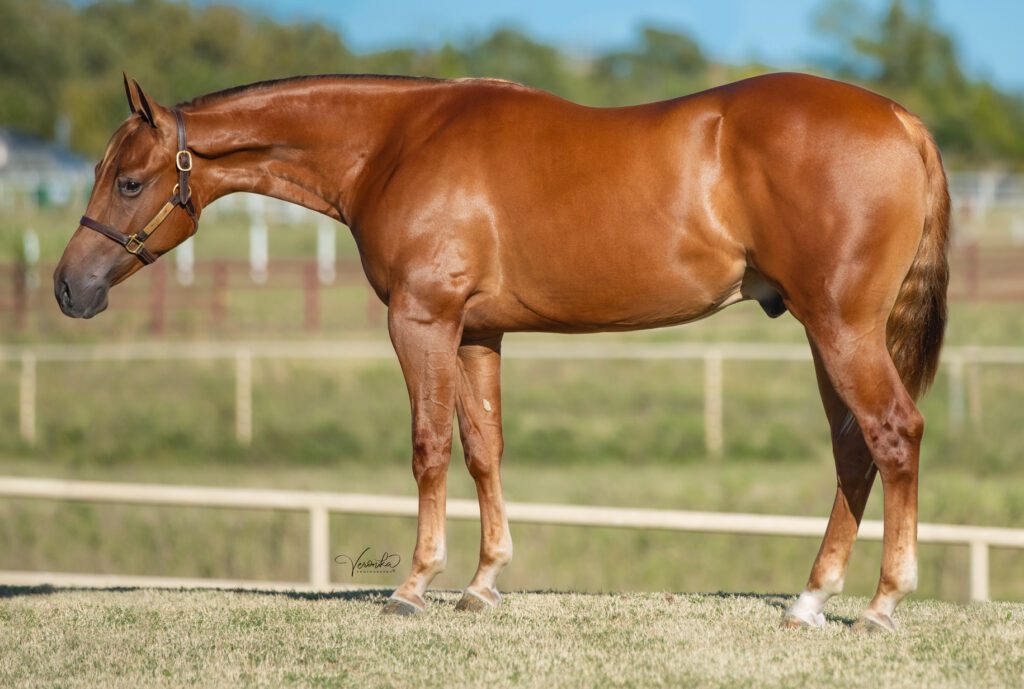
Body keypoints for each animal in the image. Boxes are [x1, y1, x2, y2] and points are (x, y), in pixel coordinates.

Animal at [54, 72, 949, 632]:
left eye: (128, 182)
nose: (69, 287)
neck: (394, 144)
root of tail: (901, 119)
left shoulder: (421, 320)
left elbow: (429, 446)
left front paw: (414, 585)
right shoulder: (477, 331)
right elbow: (484, 446)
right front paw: (483, 585)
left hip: (840, 327)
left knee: (894, 434)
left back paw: (881, 604)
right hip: (824, 330)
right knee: (853, 451)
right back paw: (810, 600)